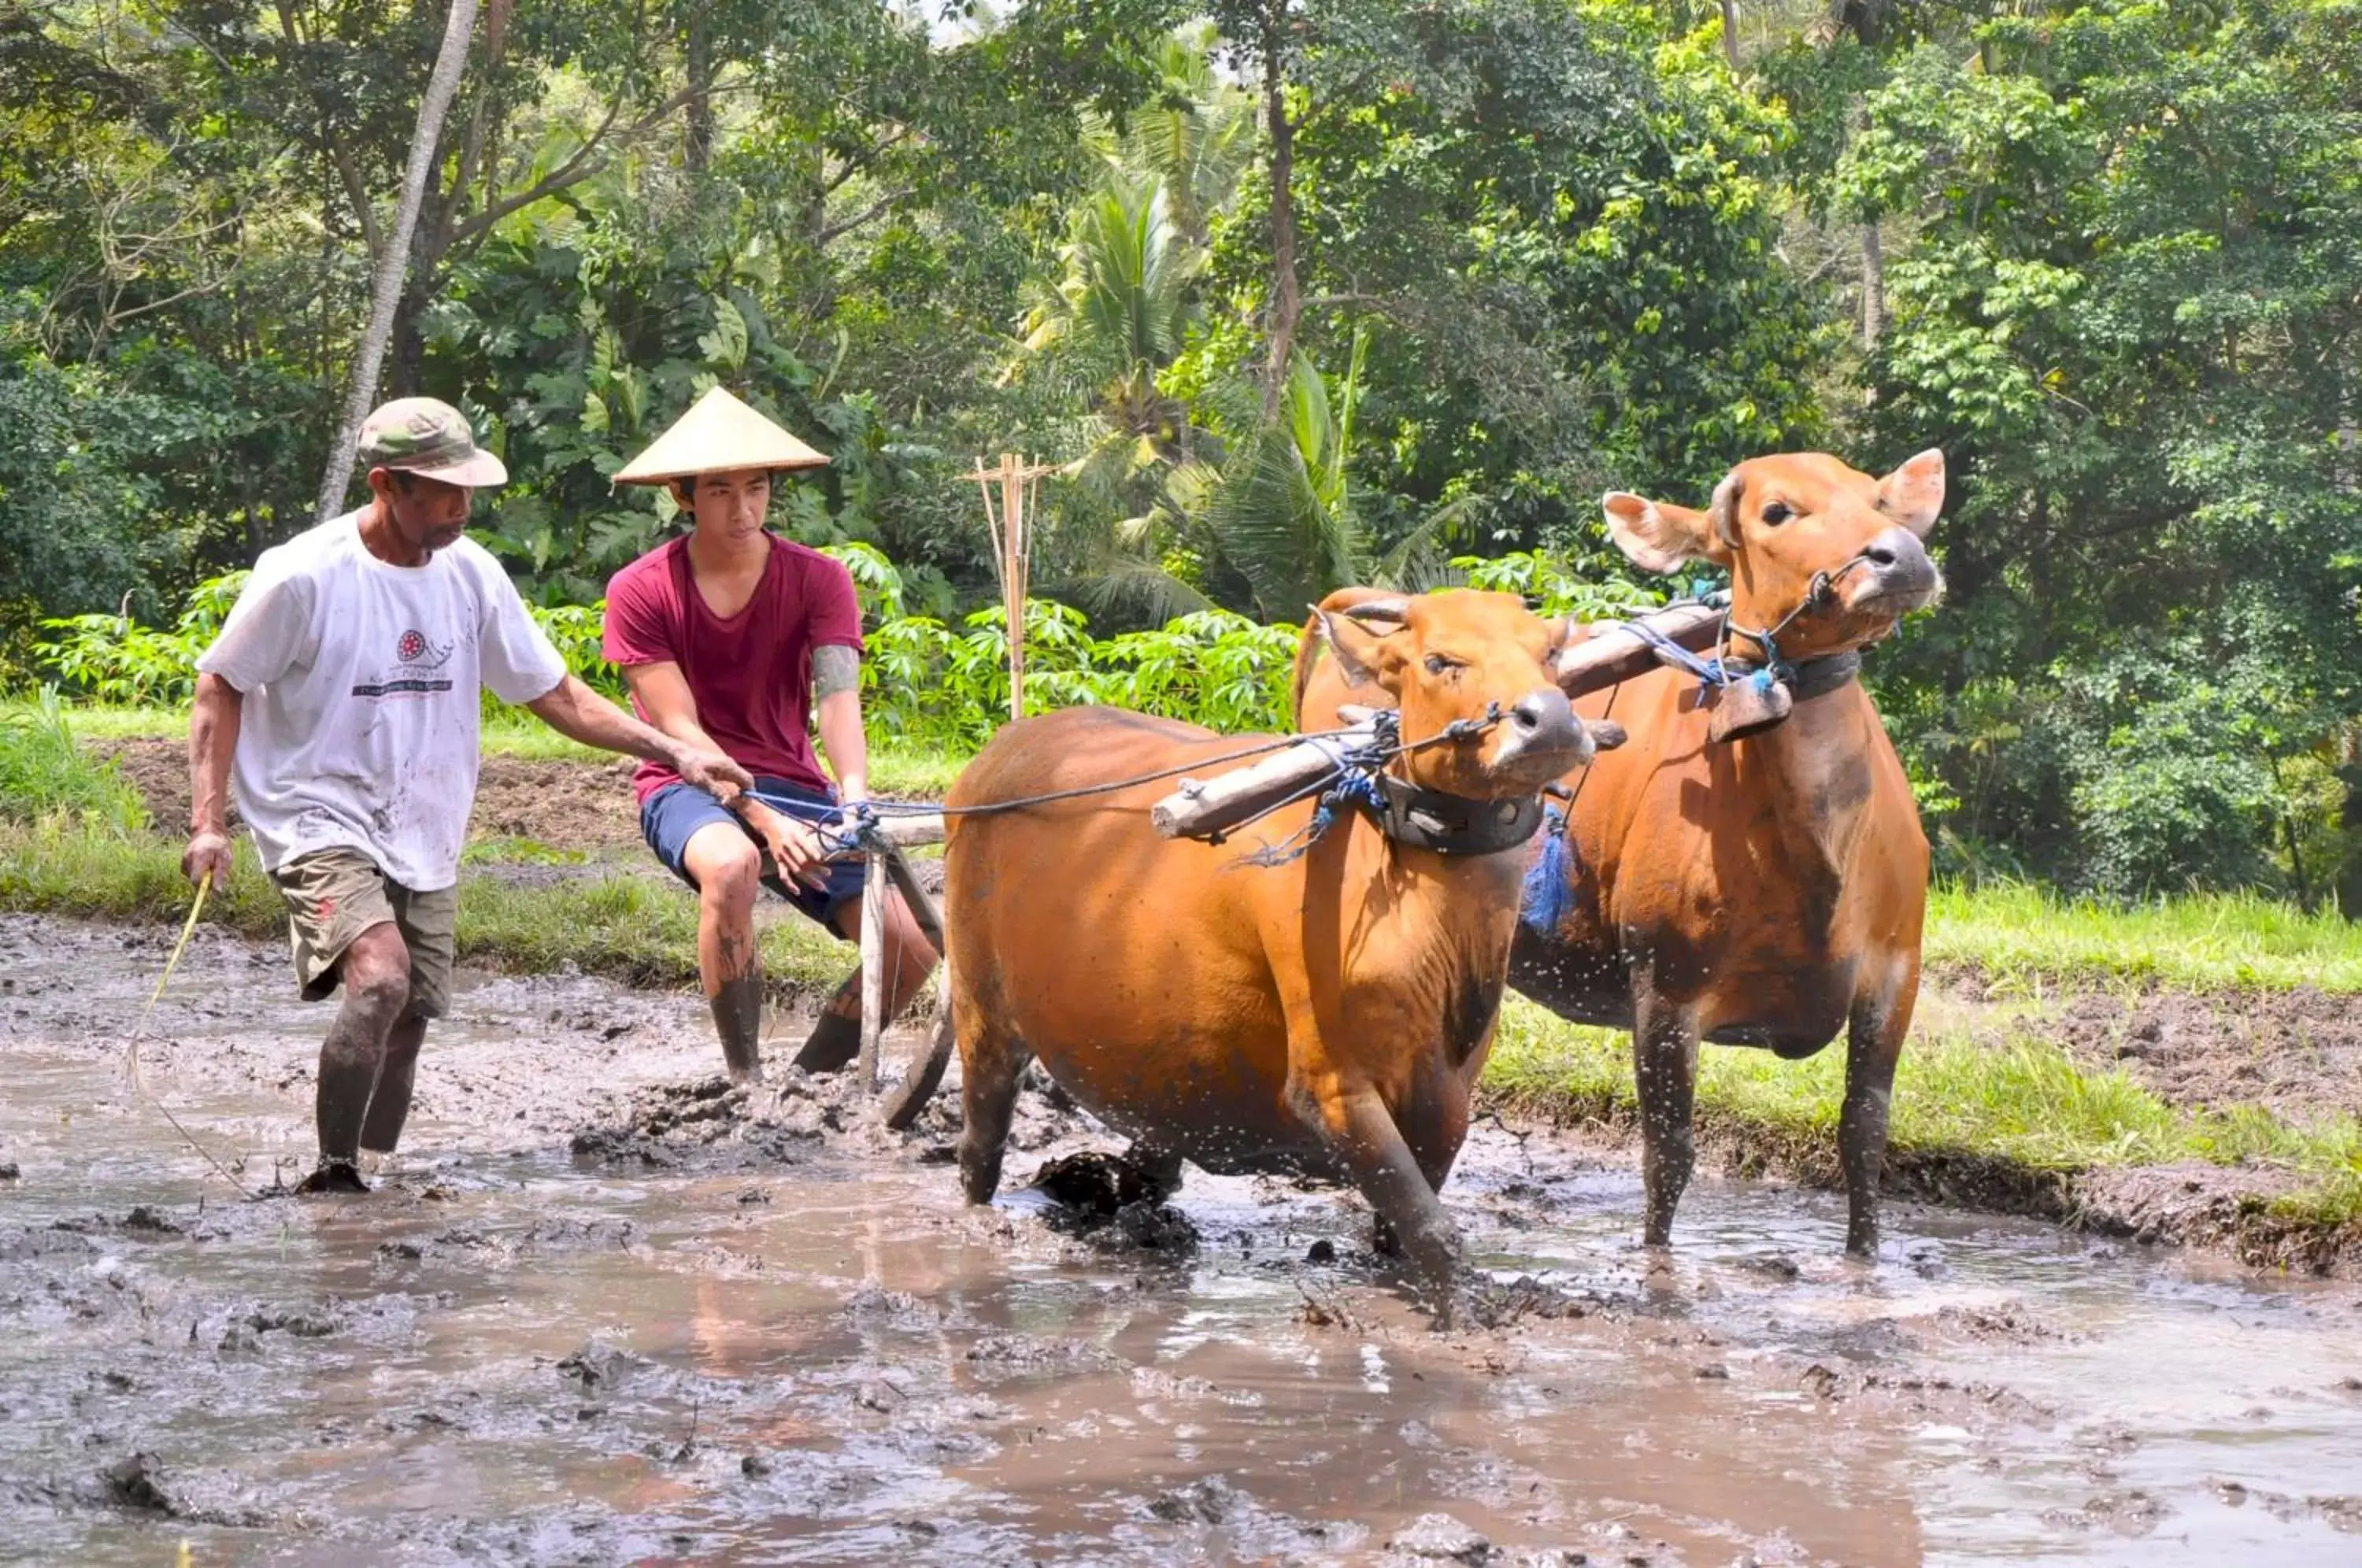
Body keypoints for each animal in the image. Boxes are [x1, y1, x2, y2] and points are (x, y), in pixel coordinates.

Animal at [940, 588, 1606, 1294]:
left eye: (1550, 652)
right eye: (1440, 660)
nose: (1550, 721)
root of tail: (996, 754)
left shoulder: (1446, 1105)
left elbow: (1404, 1233)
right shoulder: (1333, 1086)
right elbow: (1434, 1233)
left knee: (1152, 1161)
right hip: (983, 1015)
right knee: (979, 1148)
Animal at [1304, 451, 1946, 1247]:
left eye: (1876, 499)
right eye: (1776, 511)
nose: (1902, 557)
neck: (1820, 857)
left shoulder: (1897, 975)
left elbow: (1864, 1143)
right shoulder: (1666, 987)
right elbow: (1667, 1160)